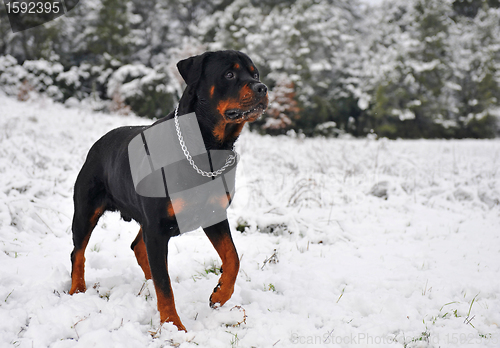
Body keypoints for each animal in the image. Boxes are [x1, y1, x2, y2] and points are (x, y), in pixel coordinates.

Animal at [69, 50, 270, 330]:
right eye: (229, 74)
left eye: (255, 74)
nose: (262, 88)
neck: (207, 149)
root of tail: (97, 144)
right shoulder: (157, 226)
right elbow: (165, 287)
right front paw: (173, 327)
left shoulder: (213, 214)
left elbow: (233, 257)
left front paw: (220, 294)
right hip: (86, 209)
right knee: (78, 252)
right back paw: (77, 289)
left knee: (138, 248)